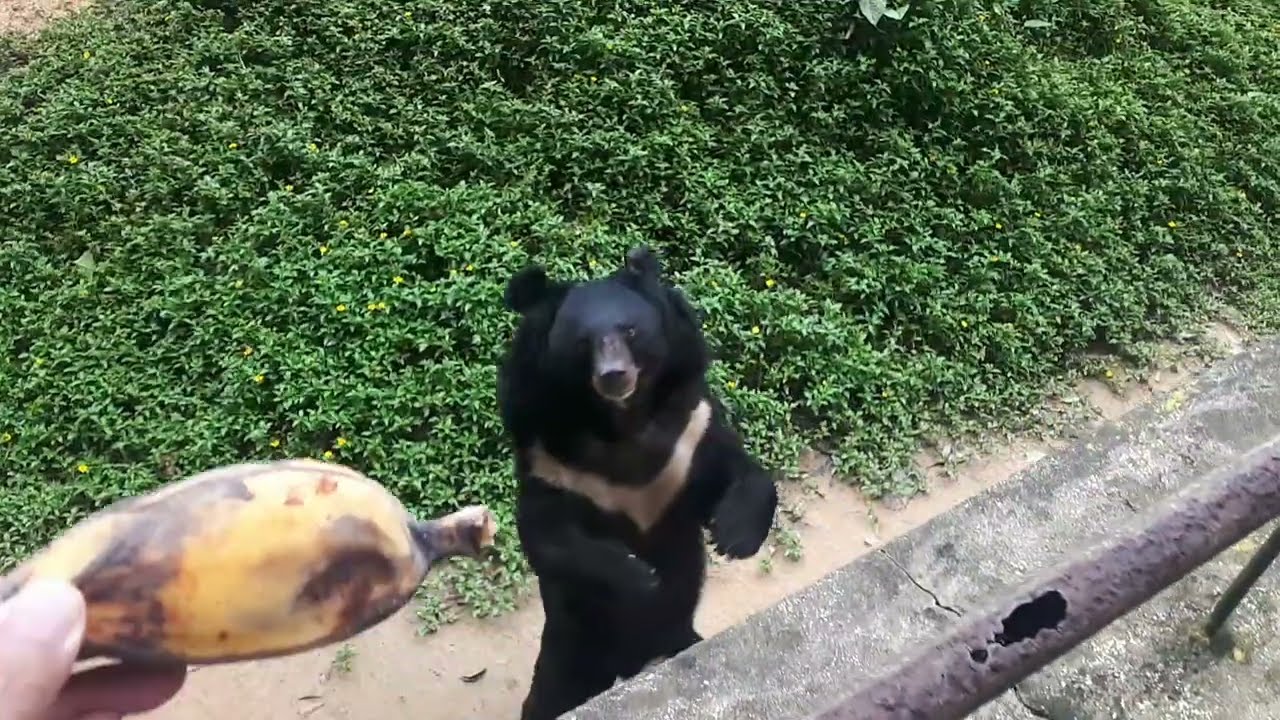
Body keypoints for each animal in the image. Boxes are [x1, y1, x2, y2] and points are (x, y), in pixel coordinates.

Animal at [496, 245, 780, 720]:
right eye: (583, 342)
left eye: (630, 330)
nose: (614, 375)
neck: (622, 421)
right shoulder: (550, 459)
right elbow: (548, 535)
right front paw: (639, 575)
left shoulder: (691, 429)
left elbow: (738, 472)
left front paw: (732, 537)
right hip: (574, 645)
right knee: (550, 696)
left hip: (671, 632)